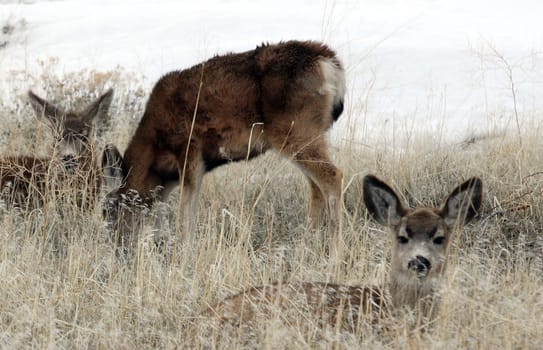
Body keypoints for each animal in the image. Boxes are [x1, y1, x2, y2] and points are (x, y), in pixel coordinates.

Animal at [104, 39, 346, 247]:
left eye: (110, 209)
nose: (117, 246)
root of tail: (330, 64)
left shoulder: (189, 149)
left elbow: (185, 213)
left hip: (295, 130)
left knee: (333, 176)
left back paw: (335, 251)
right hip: (308, 134)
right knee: (316, 187)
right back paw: (307, 244)